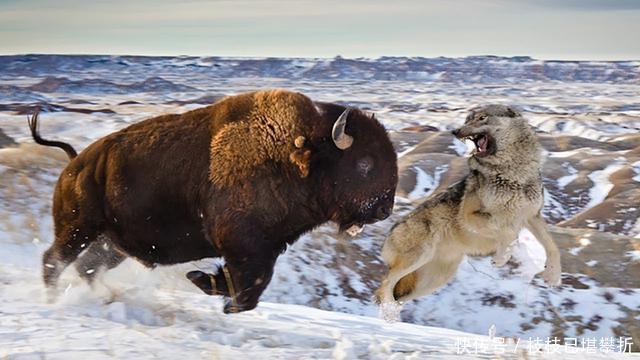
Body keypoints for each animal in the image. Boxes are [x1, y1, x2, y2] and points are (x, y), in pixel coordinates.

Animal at [33, 89, 400, 312]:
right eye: (364, 163)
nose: (385, 208)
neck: (294, 153)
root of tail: (76, 164)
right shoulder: (246, 247)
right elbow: (248, 286)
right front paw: (211, 290)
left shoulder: (264, 249)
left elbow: (248, 285)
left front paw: (204, 283)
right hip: (78, 229)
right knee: (55, 260)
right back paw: (52, 300)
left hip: (111, 243)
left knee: (87, 266)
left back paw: (102, 297)